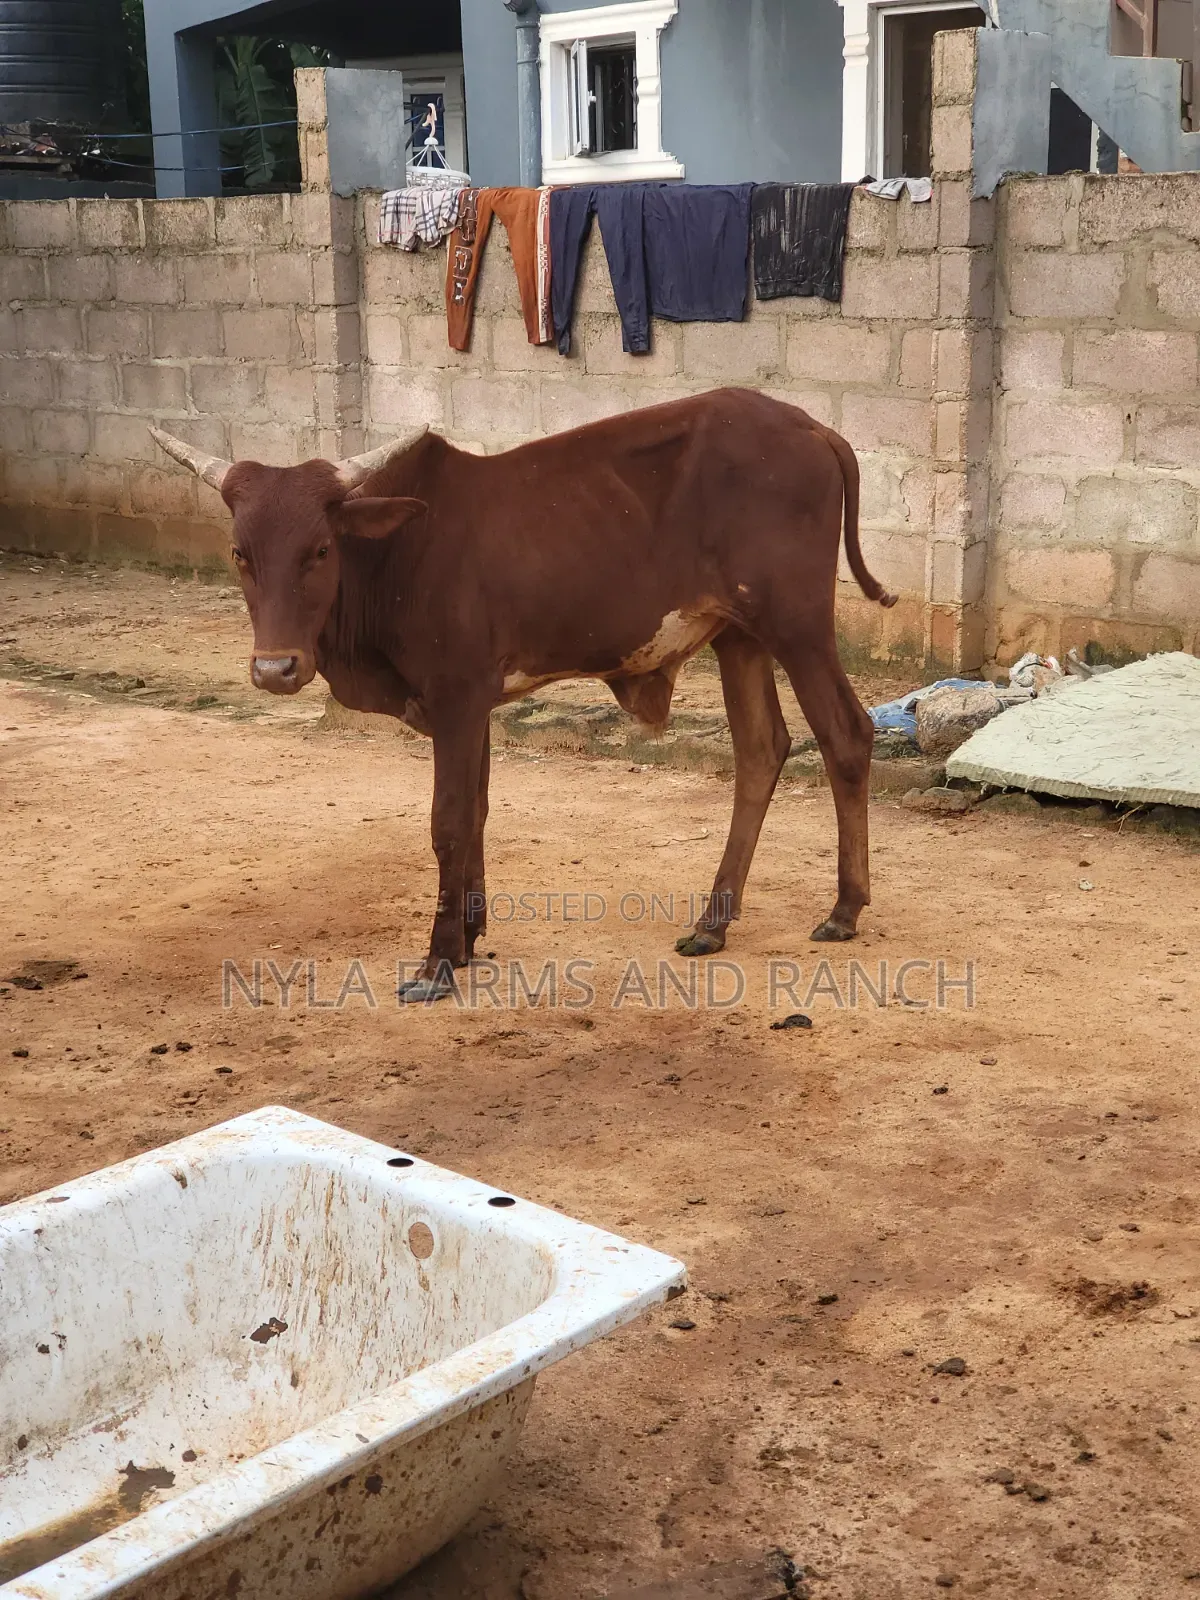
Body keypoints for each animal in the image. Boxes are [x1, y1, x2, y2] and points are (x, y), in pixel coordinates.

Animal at [152, 388, 896, 1002]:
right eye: (241, 553)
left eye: (319, 551)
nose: (276, 668)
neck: (398, 555)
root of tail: (812, 427)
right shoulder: (475, 703)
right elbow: (479, 812)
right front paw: (469, 939)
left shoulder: (456, 698)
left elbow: (450, 823)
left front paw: (438, 963)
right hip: (738, 635)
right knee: (761, 751)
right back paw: (713, 920)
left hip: (796, 624)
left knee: (846, 735)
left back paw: (844, 909)